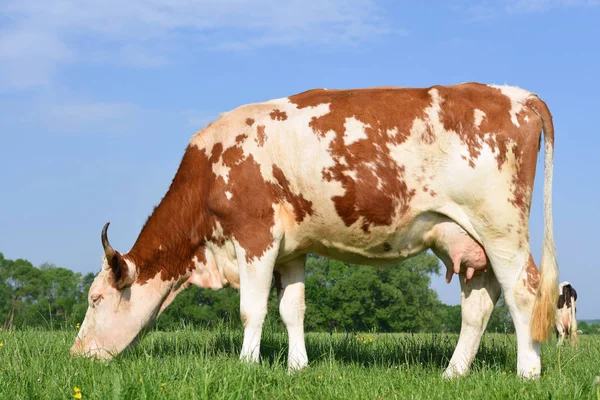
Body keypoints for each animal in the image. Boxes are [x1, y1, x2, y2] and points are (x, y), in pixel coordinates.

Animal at [72, 83, 560, 380]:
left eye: (95, 299)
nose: (75, 355)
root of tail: (517, 94)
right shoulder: (291, 250)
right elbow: (292, 310)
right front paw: (297, 367)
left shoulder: (255, 236)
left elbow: (252, 310)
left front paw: (247, 366)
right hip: (470, 238)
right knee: (479, 305)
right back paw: (452, 373)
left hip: (501, 228)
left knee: (524, 292)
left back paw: (528, 372)